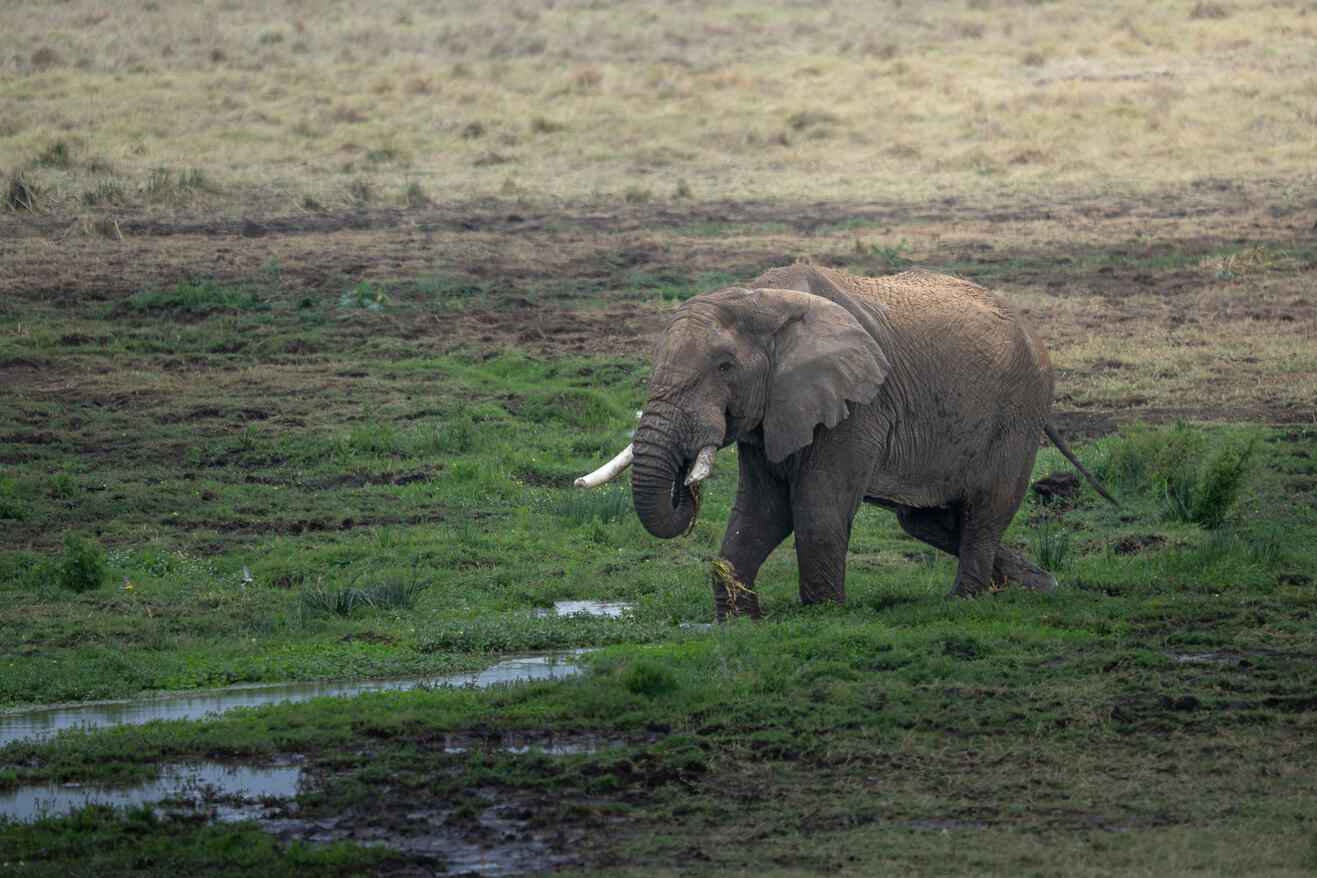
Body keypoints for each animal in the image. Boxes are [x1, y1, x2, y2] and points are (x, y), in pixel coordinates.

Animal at [576, 264, 1113, 621]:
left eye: (725, 367)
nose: (685, 483)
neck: (761, 297)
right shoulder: (777, 406)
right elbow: (760, 512)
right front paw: (739, 622)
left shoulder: (859, 403)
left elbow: (814, 512)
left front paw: (822, 616)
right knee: (928, 521)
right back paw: (1039, 585)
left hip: (1017, 413)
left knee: (985, 510)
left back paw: (966, 602)